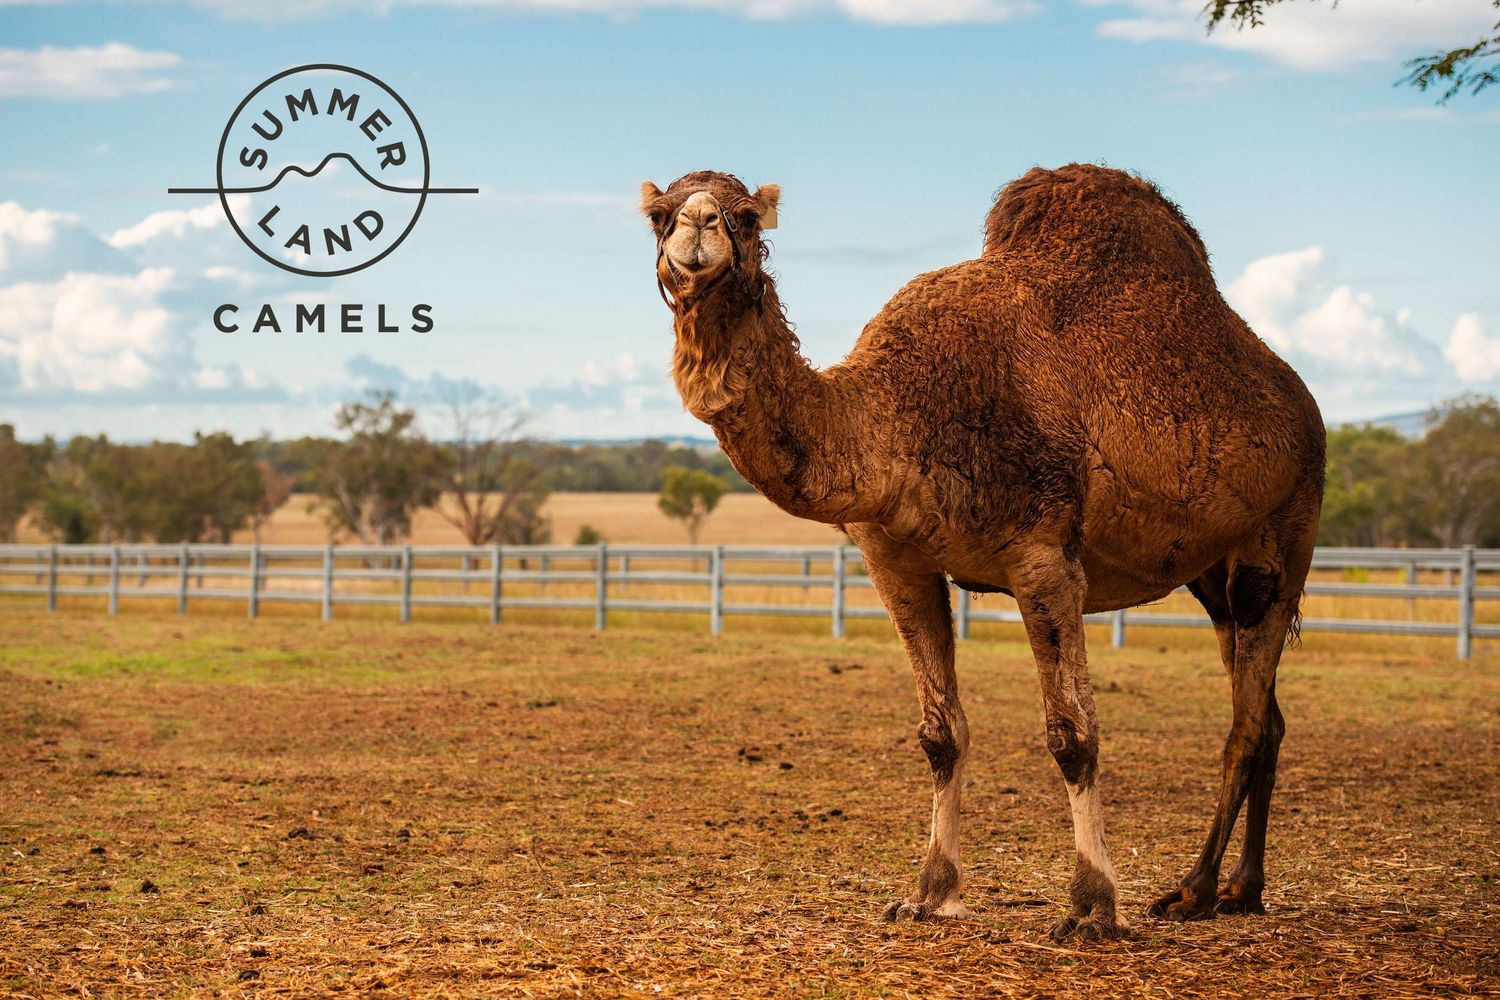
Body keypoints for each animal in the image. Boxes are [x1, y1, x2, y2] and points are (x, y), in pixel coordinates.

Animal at [639, 164, 1325, 941]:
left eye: (747, 217)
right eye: (660, 215)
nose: (698, 228)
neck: (895, 411)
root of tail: (1303, 404)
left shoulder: (1043, 556)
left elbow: (1073, 736)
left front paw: (1092, 906)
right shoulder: (896, 560)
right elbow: (941, 733)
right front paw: (929, 893)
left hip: (1286, 531)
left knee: (1246, 722)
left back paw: (1195, 889)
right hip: (1212, 572)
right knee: (1267, 714)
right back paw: (1242, 888)